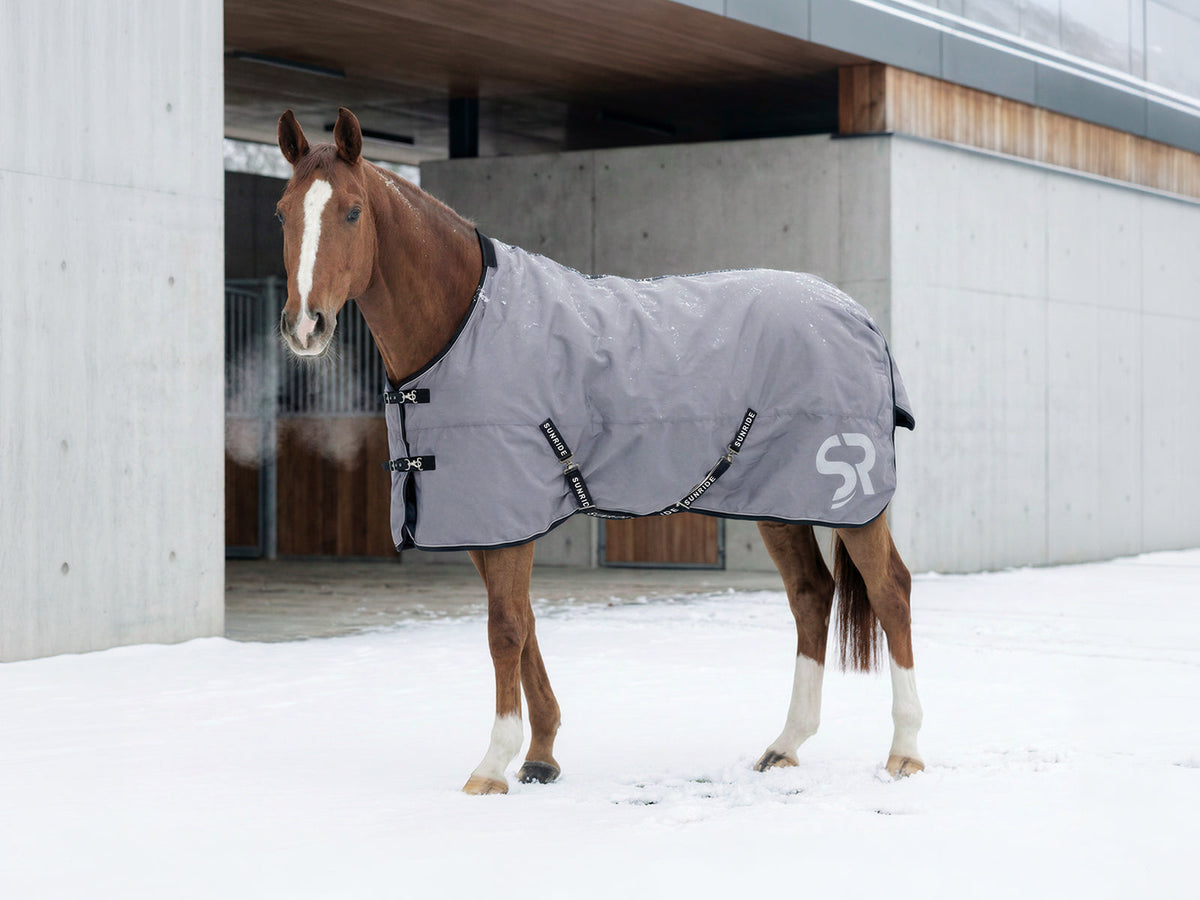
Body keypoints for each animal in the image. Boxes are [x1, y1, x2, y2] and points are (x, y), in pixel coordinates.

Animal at [273, 107, 924, 795]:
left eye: (351, 211)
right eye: (283, 213)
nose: (305, 326)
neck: (466, 323)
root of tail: (859, 316)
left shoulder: (510, 513)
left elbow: (505, 629)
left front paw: (492, 765)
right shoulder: (483, 517)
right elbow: (525, 622)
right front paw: (541, 754)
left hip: (852, 500)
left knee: (891, 591)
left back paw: (904, 751)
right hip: (779, 500)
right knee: (810, 595)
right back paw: (786, 744)